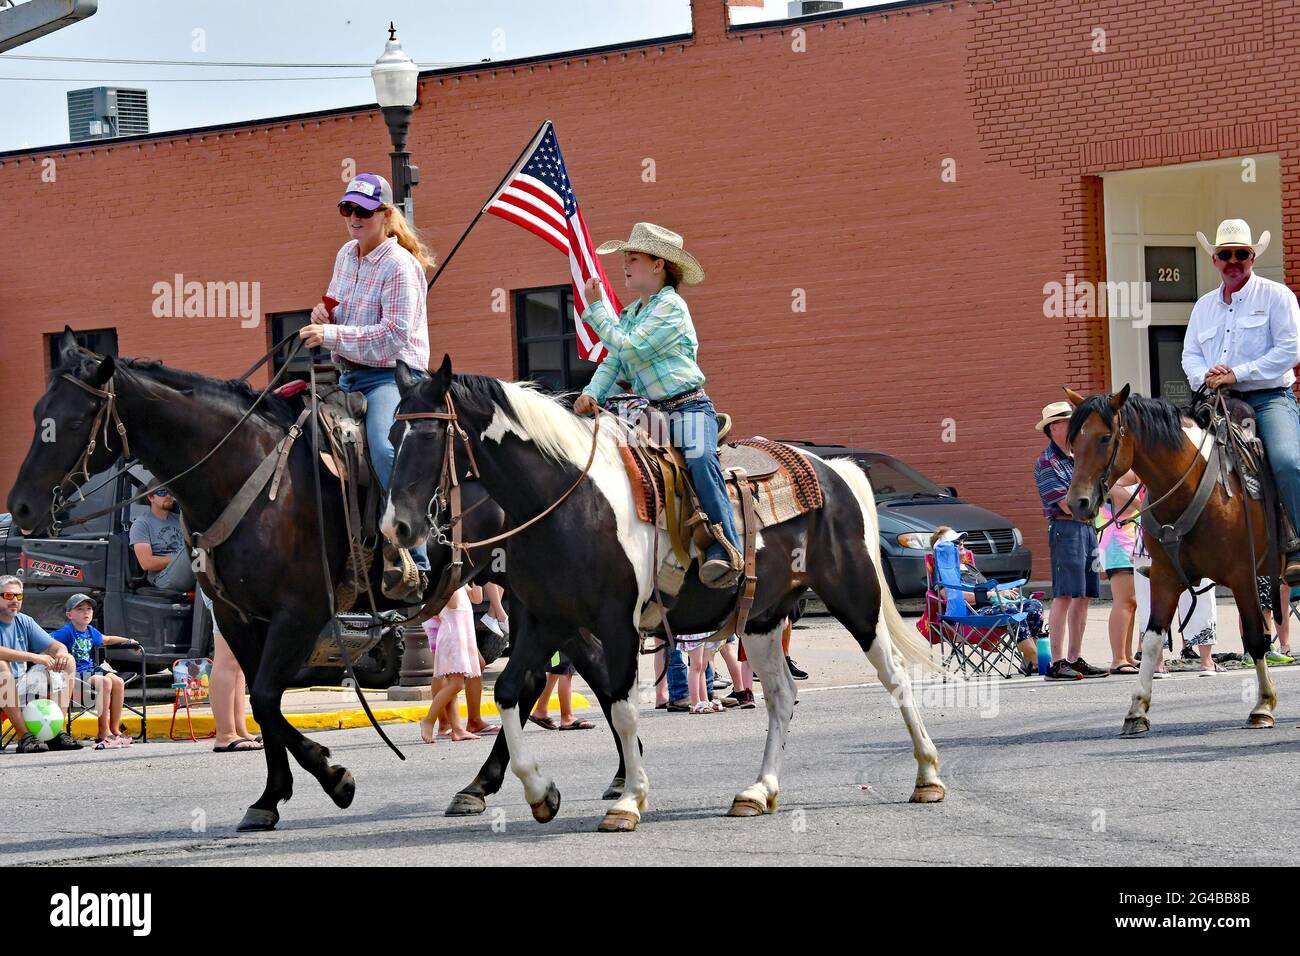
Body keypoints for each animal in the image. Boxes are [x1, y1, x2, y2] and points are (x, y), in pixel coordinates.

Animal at [7, 335, 637, 832]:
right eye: (36, 412)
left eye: (67, 422)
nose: (22, 507)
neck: (245, 472)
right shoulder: (238, 616)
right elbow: (259, 703)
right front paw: (270, 798)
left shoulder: (299, 610)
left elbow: (265, 696)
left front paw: (334, 778)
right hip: (544, 594)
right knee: (575, 670)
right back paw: (529, 784)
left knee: (564, 672)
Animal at [379, 356, 941, 832]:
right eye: (392, 434)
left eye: (430, 434)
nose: (396, 528)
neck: (568, 502)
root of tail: (835, 469)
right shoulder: (545, 621)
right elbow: (511, 691)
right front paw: (540, 792)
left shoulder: (615, 623)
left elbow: (621, 705)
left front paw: (628, 799)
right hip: (760, 619)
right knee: (782, 696)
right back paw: (758, 791)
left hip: (855, 597)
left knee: (894, 678)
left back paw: (928, 777)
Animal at [1066, 385, 1279, 738]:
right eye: (1073, 442)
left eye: (1105, 437)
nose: (1076, 503)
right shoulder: (1165, 576)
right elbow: (1152, 639)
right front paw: (1136, 710)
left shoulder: (1242, 575)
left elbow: (1254, 637)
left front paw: (1262, 705)